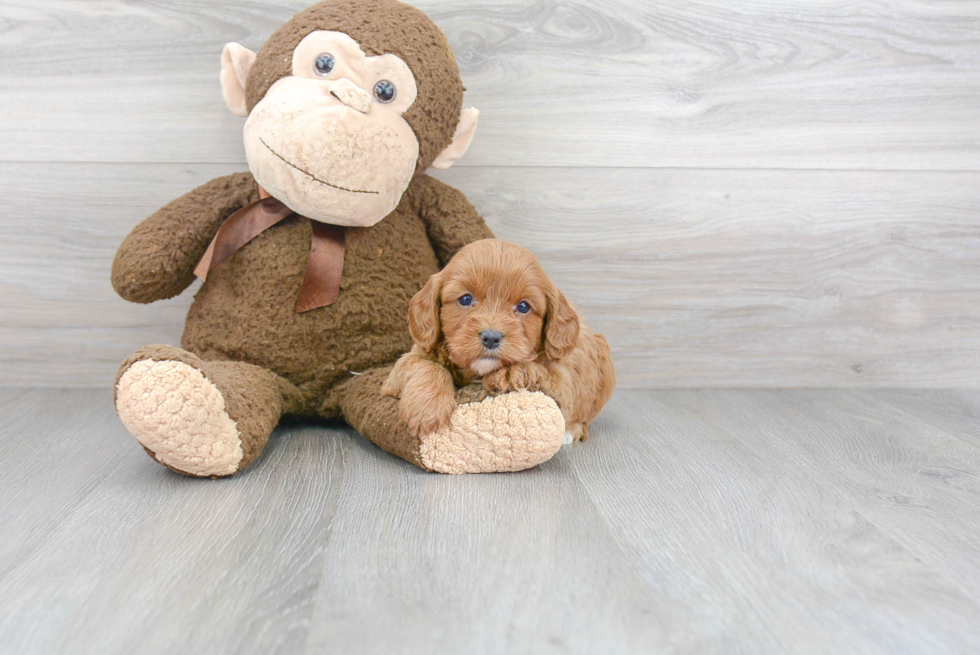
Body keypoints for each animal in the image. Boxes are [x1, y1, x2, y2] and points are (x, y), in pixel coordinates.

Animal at [382, 238, 612, 444]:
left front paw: (512, 372)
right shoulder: (405, 365)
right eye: (465, 299)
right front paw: (427, 408)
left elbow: (546, 375)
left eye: (523, 306)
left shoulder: (563, 382)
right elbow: (426, 366)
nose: (491, 338)